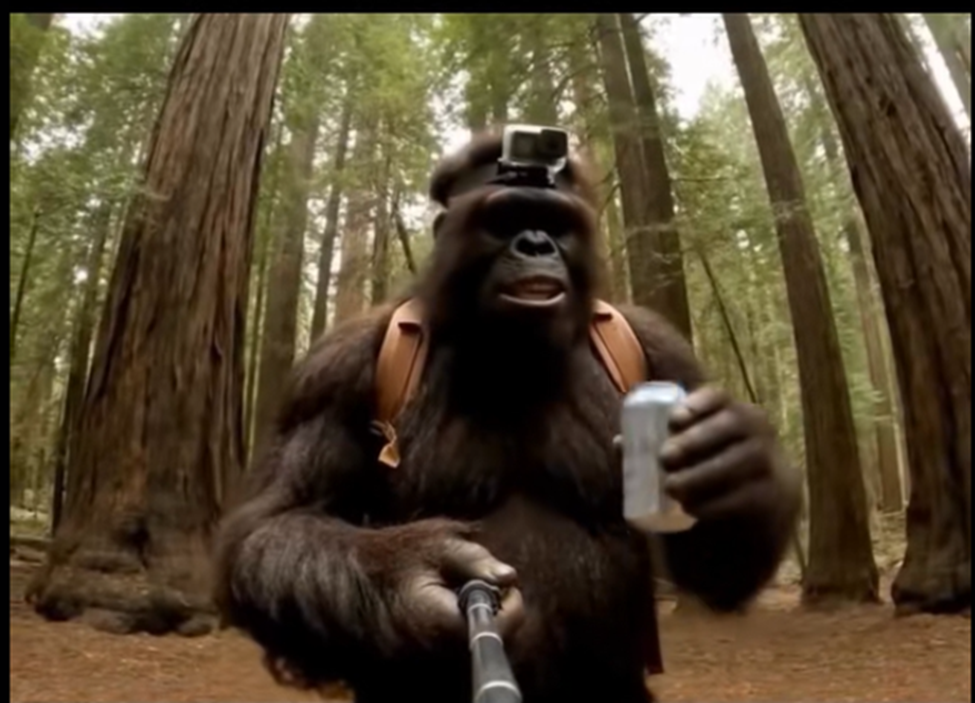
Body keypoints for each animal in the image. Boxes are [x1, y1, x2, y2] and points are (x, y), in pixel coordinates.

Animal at [213, 132, 801, 703]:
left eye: (557, 223)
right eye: (507, 218)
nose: (537, 243)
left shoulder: (665, 350)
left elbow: (716, 567)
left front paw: (737, 468)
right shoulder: (333, 369)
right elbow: (279, 519)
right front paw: (415, 575)